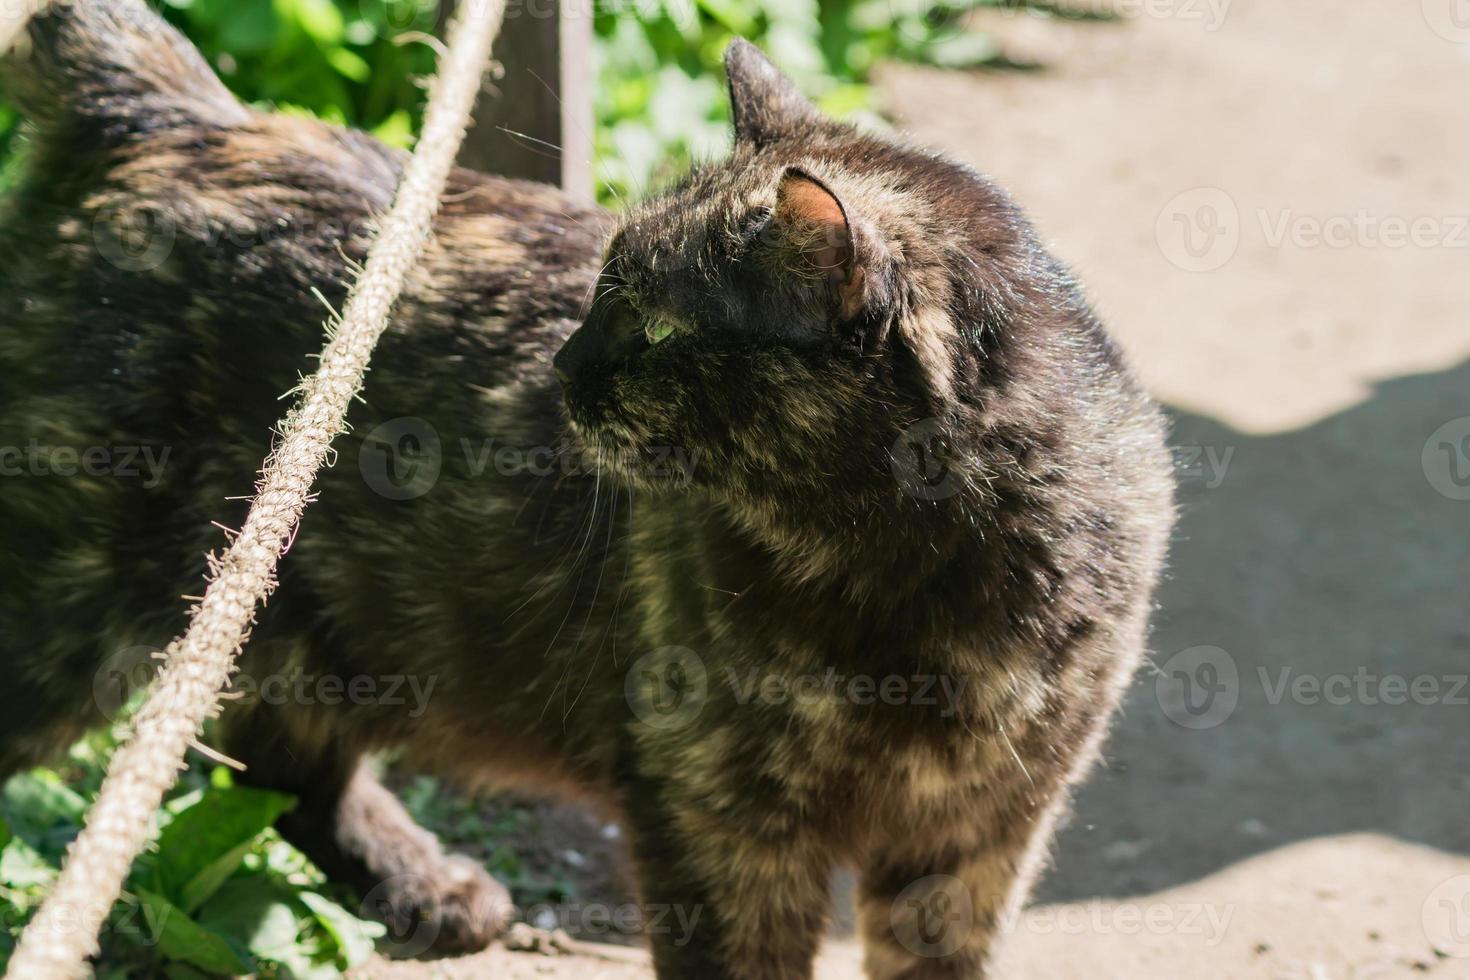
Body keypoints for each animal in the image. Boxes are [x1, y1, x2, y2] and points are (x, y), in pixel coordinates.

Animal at [0, 3, 1170, 975]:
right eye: (601, 283)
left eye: (654, 324)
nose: (561, 365)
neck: (911, 584)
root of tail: (167, 111)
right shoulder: (716, 823)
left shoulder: (978, 834)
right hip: (70, 612)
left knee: (275, 769)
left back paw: (423, 885)